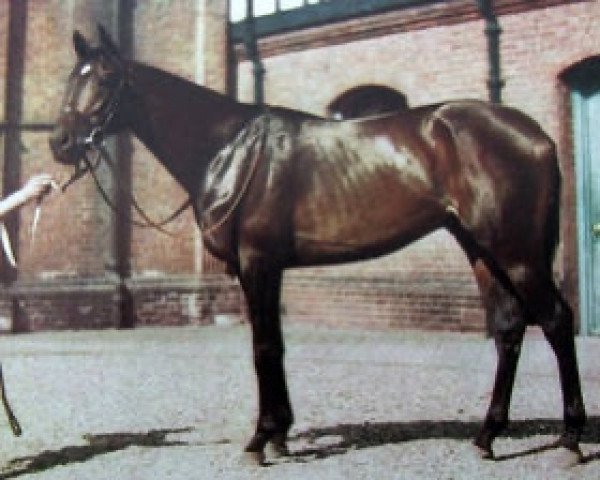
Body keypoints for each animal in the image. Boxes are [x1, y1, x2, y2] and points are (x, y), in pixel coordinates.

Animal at [48, 27, 584, 464]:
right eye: (72, 78)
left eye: (105, 78)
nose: (61, 142)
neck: (229, 149)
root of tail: (536, 134)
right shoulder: (265, 268)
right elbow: (275, 344)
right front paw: (281, 435)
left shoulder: (258, 263)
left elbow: (264, 345)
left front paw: (261, 439)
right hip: (480, 249)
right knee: (509, 328)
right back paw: (487, 436)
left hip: (517, 252)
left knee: (557, 321)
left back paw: (572, 439)